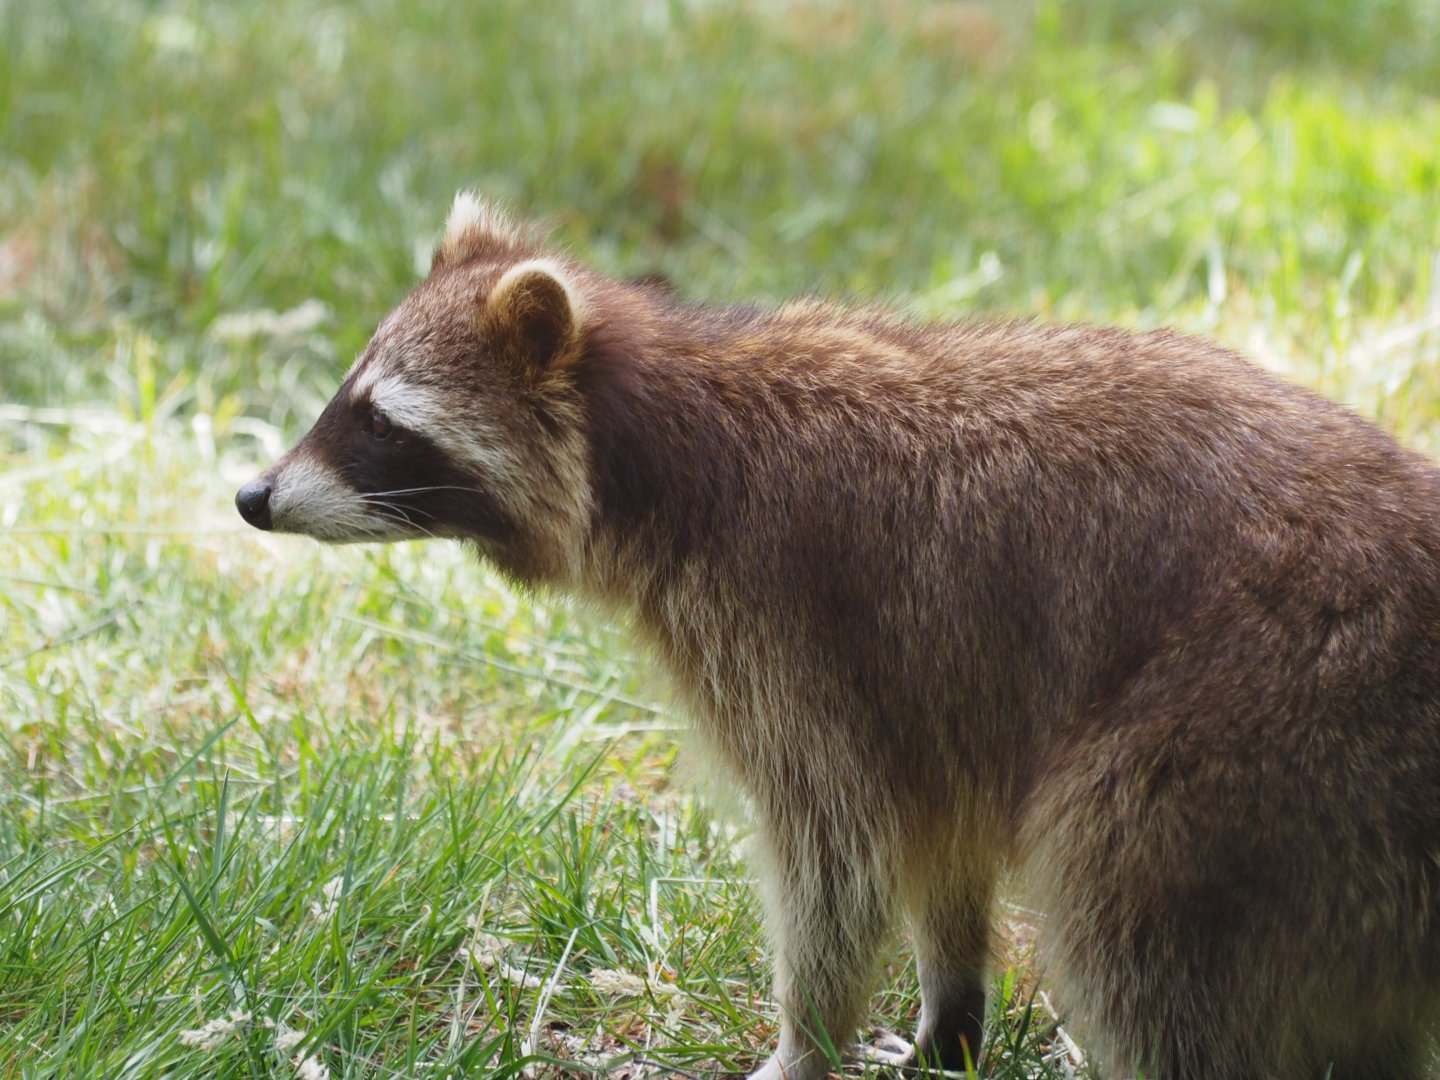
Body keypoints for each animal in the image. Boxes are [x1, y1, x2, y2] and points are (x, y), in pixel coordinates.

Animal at [237, 193, 1440, 1079]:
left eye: (379, 422)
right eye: (346, 395)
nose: (251, 496)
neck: (654, 437)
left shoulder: (789, 611)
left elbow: (837, 848)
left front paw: (804, 1042)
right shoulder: (929, 682)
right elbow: (937, 831)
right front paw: (952, 1008)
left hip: (1253, 733)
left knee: (1127, 917)